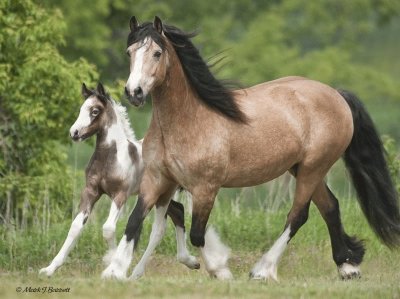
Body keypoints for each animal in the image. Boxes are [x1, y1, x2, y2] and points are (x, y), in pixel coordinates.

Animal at [39, 83, 198, 278]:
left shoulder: (120, 194)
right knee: (178, 211)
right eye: (81, 109)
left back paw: (138, 271)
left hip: (161, 194)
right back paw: (189, 261)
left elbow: (108, 229)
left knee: (160, 228)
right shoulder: (91, 191)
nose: (74, 133)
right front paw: (49, 269)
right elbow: (76, 226)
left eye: (95, 111)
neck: (109, 157)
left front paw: (112, 262)